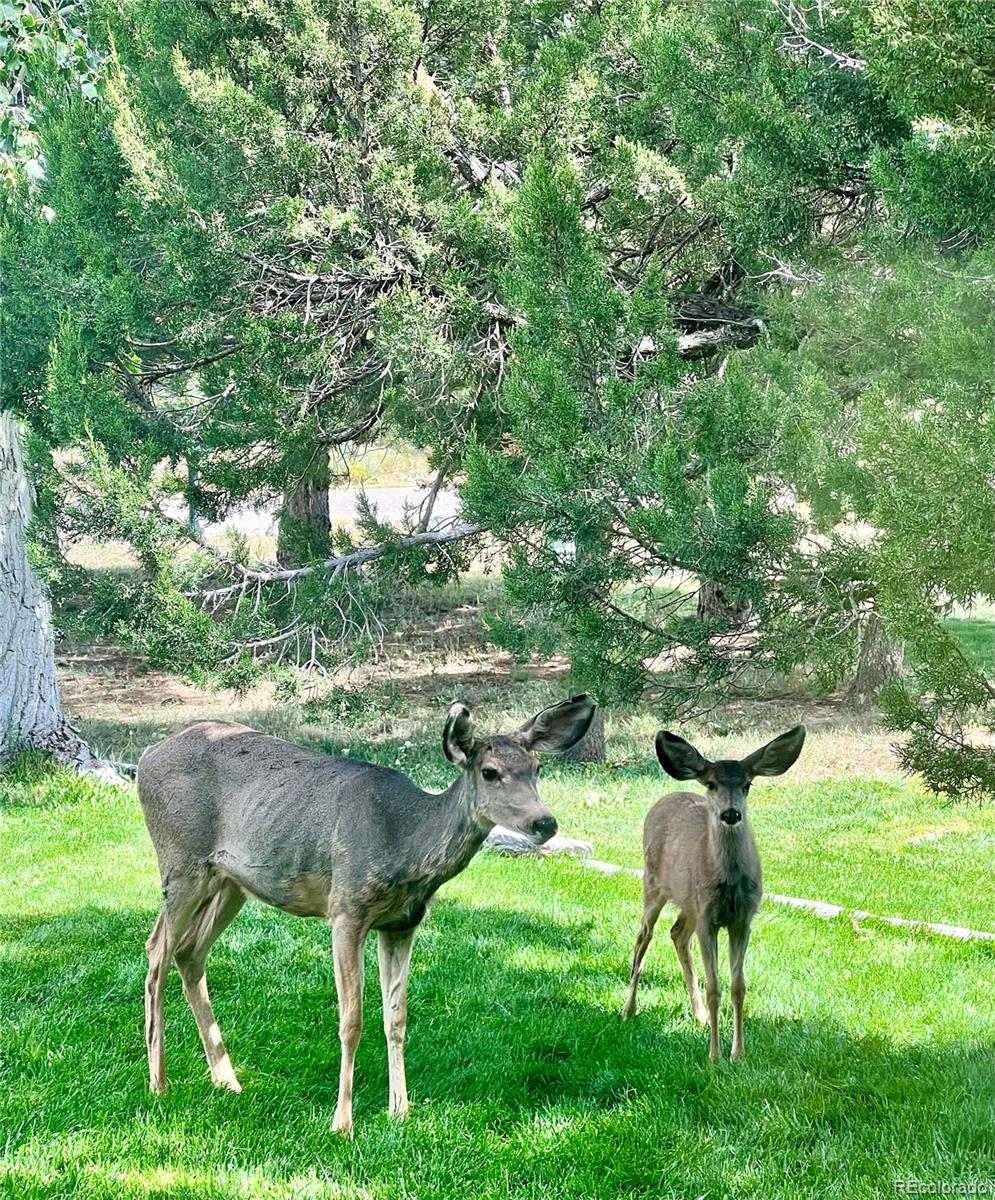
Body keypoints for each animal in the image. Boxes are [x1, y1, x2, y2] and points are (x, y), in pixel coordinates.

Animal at [135, 696, 592, 1132]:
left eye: (536, 768)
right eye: (490, 772)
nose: (544, 823)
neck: (406, 846)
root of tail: (146, 756)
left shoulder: (401, 924)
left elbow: (397, 1017)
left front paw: (400, 1110)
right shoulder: (346, 909)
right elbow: (351, 1020)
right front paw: (342, 1123)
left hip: (230, 881)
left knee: (189, 952)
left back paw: (227, 1079)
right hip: (181, 860)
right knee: (157, 950)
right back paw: (159, 1082)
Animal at [619, 724, 806, 1056]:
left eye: (747, 785)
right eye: (711, 784)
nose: (730, 814)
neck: (728, 882)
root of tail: (666, 797)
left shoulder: (742, 919)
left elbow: (738, 986)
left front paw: (738, 1053)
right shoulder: (708, 919)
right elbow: (714, 987)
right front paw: (714, 1055)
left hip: (689, 903)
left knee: (677, 933)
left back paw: (700, 1016)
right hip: (653, 884)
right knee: (643, 937)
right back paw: (628, 1010)